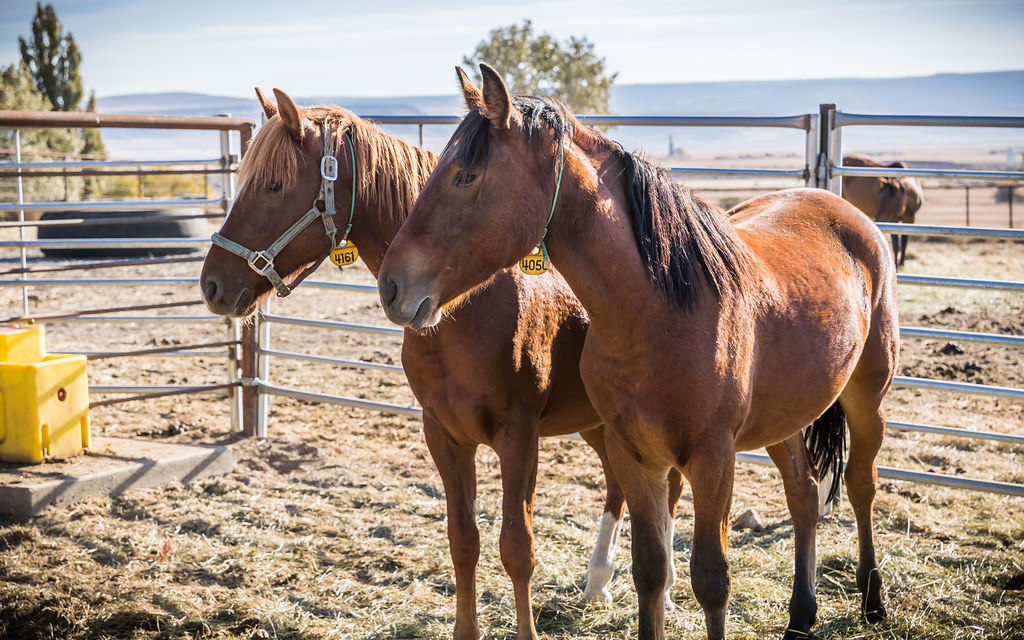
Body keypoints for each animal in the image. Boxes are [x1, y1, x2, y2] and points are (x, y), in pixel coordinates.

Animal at [198, 88, 688, 640]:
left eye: (274, 185)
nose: (212, 283)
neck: (466, 308)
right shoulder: (443, 433)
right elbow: (463, 541)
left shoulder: (519, 437)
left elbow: (517, 547)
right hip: (595, 423)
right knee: (619, 485)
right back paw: (599, 581)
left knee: (666, 489)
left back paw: (663, 590)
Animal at [377, 64, 899, 640]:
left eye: (466, 177)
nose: (392, 286)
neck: (662, 311)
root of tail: (844, 210)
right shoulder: (634, 454)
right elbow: (650, 570)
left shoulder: (713, 458)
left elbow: (710, 579)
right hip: (782, 418)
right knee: (804, 494)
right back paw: (801, 615)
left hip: (866, 398)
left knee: (861, 485)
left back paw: (873, 600)